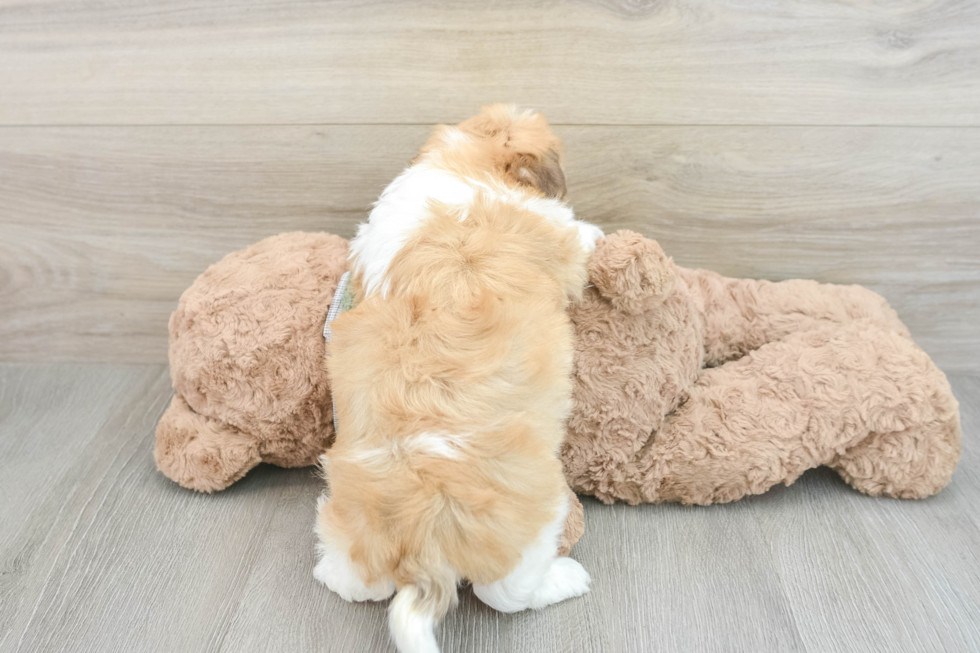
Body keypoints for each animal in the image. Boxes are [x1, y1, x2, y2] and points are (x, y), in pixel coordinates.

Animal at [318, 105, 600, 652]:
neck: (462, 166)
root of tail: (422, 543)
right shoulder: (558, 231)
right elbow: (579, 232)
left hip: (348, 518)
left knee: (361, 583)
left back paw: (331, 572)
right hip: (534, 517)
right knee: (507, 593)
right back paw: (566, 578)